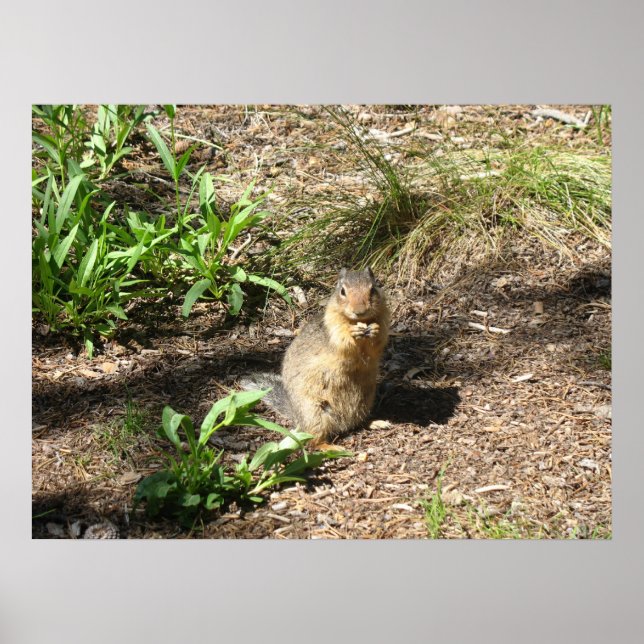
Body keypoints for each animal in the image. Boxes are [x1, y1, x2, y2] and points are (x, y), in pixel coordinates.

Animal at [242, 267, 390, 446]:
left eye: (373, 289)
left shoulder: (384, 319)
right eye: (342, 291)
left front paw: (374, 329)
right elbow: (343, 339)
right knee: (314, 440)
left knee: (358, 422)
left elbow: (379, 340)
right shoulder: (333, 327)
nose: (360, 311)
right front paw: (352, 331)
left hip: (365, 402)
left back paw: (376, 422)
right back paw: (333, 448)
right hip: (313, 412)